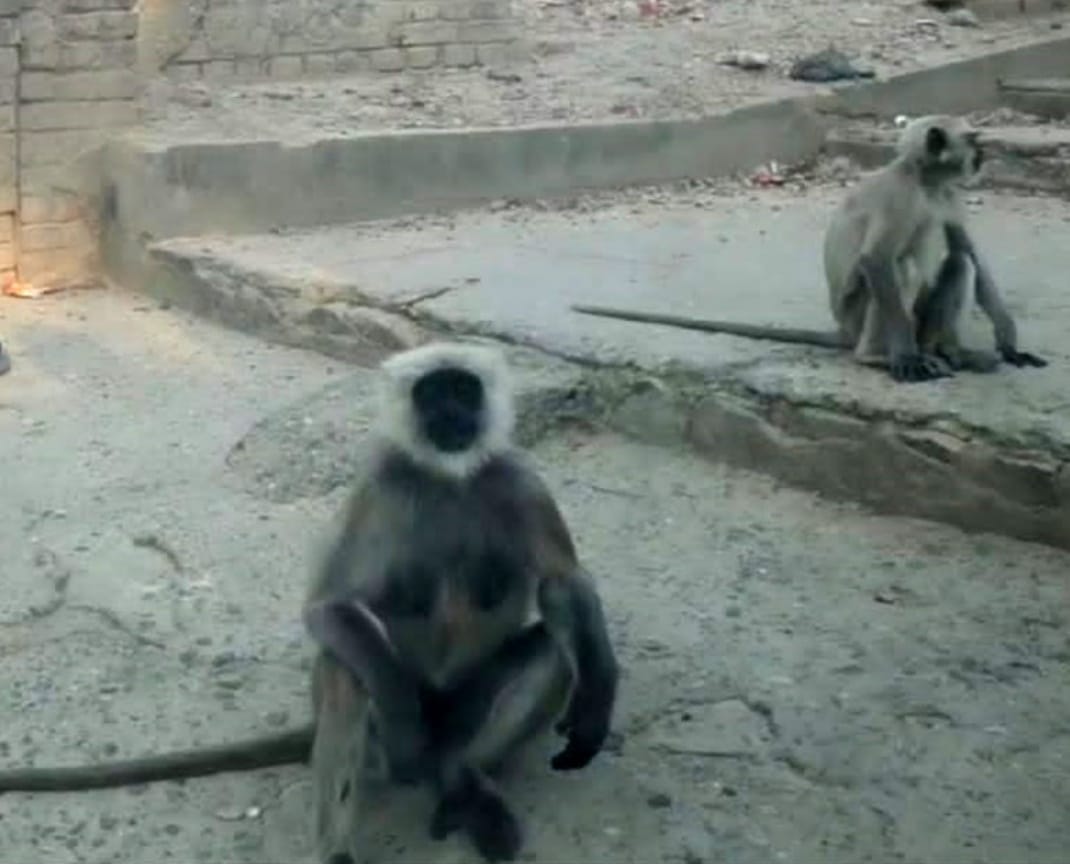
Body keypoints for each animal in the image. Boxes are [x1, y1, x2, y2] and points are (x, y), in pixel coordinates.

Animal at [302, 341, 619, 863]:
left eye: (463, 389)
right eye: (431, 393)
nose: (451, 414)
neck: (447, 478)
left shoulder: (517, 477)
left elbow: (562, 583)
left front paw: (595, 706)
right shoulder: (379, 484)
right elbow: (326, 607)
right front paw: (404, 727)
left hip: (464, 709)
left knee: (550, 650)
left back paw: (460, 783)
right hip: (378, 749)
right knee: (343, 664)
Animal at [573, 115, 1047, 383]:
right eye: (973, 141)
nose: (982, 157)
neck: (926, 182)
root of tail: (844, 330)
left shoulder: (948, 195)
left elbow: (970, 252)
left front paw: (1009, 343)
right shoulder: (900, 196)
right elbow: (876, 260)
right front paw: (904, 359)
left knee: (959, 263)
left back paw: (951, 352)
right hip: (859, 314)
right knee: (903, 270)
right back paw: (881, 356)